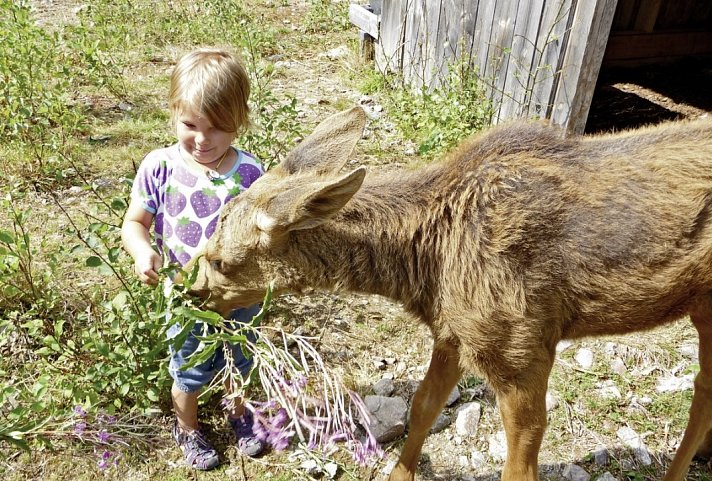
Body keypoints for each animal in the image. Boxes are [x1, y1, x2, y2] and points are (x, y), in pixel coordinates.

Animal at [188, 108, 712, 480]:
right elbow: (422, 408)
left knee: (702, 387)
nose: (194, 296)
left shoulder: (521, 350)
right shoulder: (453, 331)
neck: (424, 268)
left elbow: (519, 466)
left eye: (221, 261)